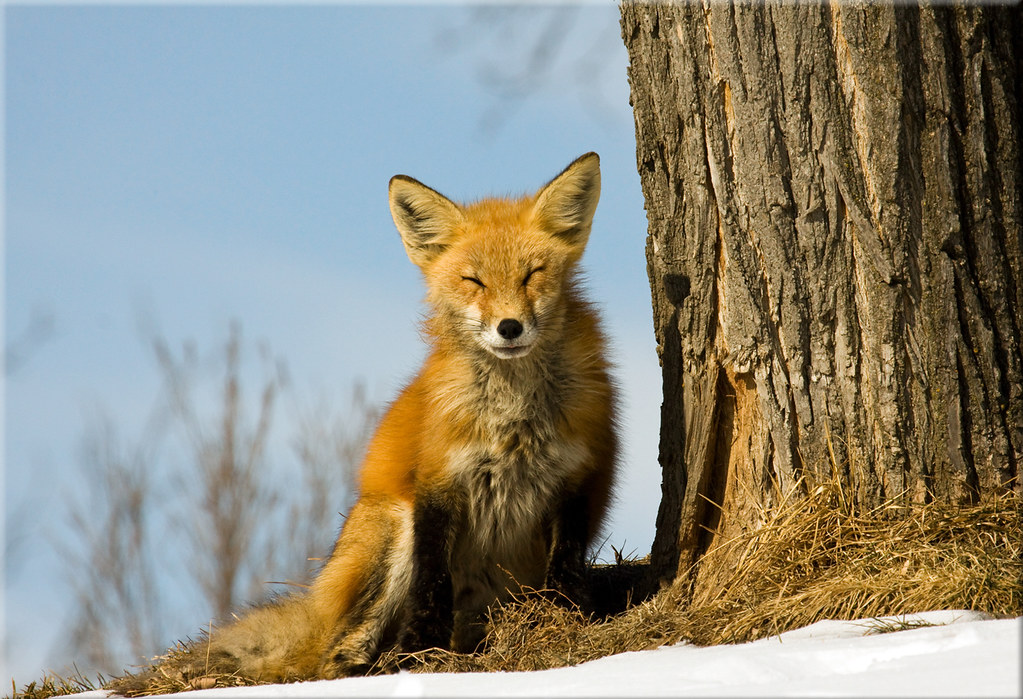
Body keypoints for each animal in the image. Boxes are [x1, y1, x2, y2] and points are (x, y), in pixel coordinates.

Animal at [126, 152, 617, 687]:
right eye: (474, 281)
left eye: (532, 274)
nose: (509, 327)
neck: (514, 417)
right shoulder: (438, 482)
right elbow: (431, 583)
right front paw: (419, 658)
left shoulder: (577, 476)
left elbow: (565, 565)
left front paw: (566, 618)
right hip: (390, 525)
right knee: (335, 655)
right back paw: (374, 666)